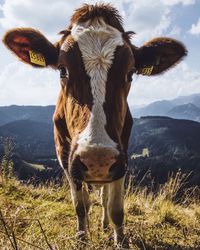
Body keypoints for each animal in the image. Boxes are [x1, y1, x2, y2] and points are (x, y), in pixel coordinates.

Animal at [3, 2, 187, 247]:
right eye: (62, 70)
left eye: (130, 73)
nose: (97, 158)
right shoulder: (65, 157)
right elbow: (80, 205)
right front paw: (82, 237)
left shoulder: (121, 157)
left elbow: (115, 207)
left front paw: (120, 241)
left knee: (103, 197)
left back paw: (104, 225)